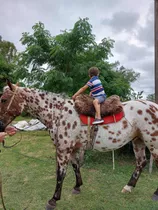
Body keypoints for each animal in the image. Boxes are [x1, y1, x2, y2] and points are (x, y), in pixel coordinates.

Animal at [0, 81, 158, 210]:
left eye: (3, 99)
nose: (1, 125)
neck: (58, 113)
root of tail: (154, 106)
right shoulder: (73, 148)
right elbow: (75, 166)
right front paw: (77, 187)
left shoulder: (63, 149)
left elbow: (61, 173)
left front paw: (53, 200)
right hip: (138, 140)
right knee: (141, 162)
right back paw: (128, 187)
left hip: (152, 142)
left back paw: (154, 194)